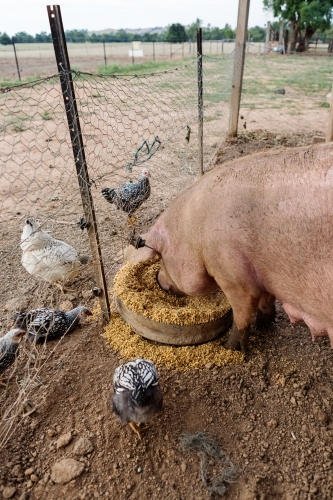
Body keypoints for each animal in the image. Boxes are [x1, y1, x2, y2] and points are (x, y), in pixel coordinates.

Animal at [124, 141, 333, 352]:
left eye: (162, 257)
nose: (159, 281)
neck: (194, 231)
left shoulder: (232, 273)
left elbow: (242, 317)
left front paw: (228, 347)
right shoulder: (260, 273)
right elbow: (266, 301)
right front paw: (263, 325)